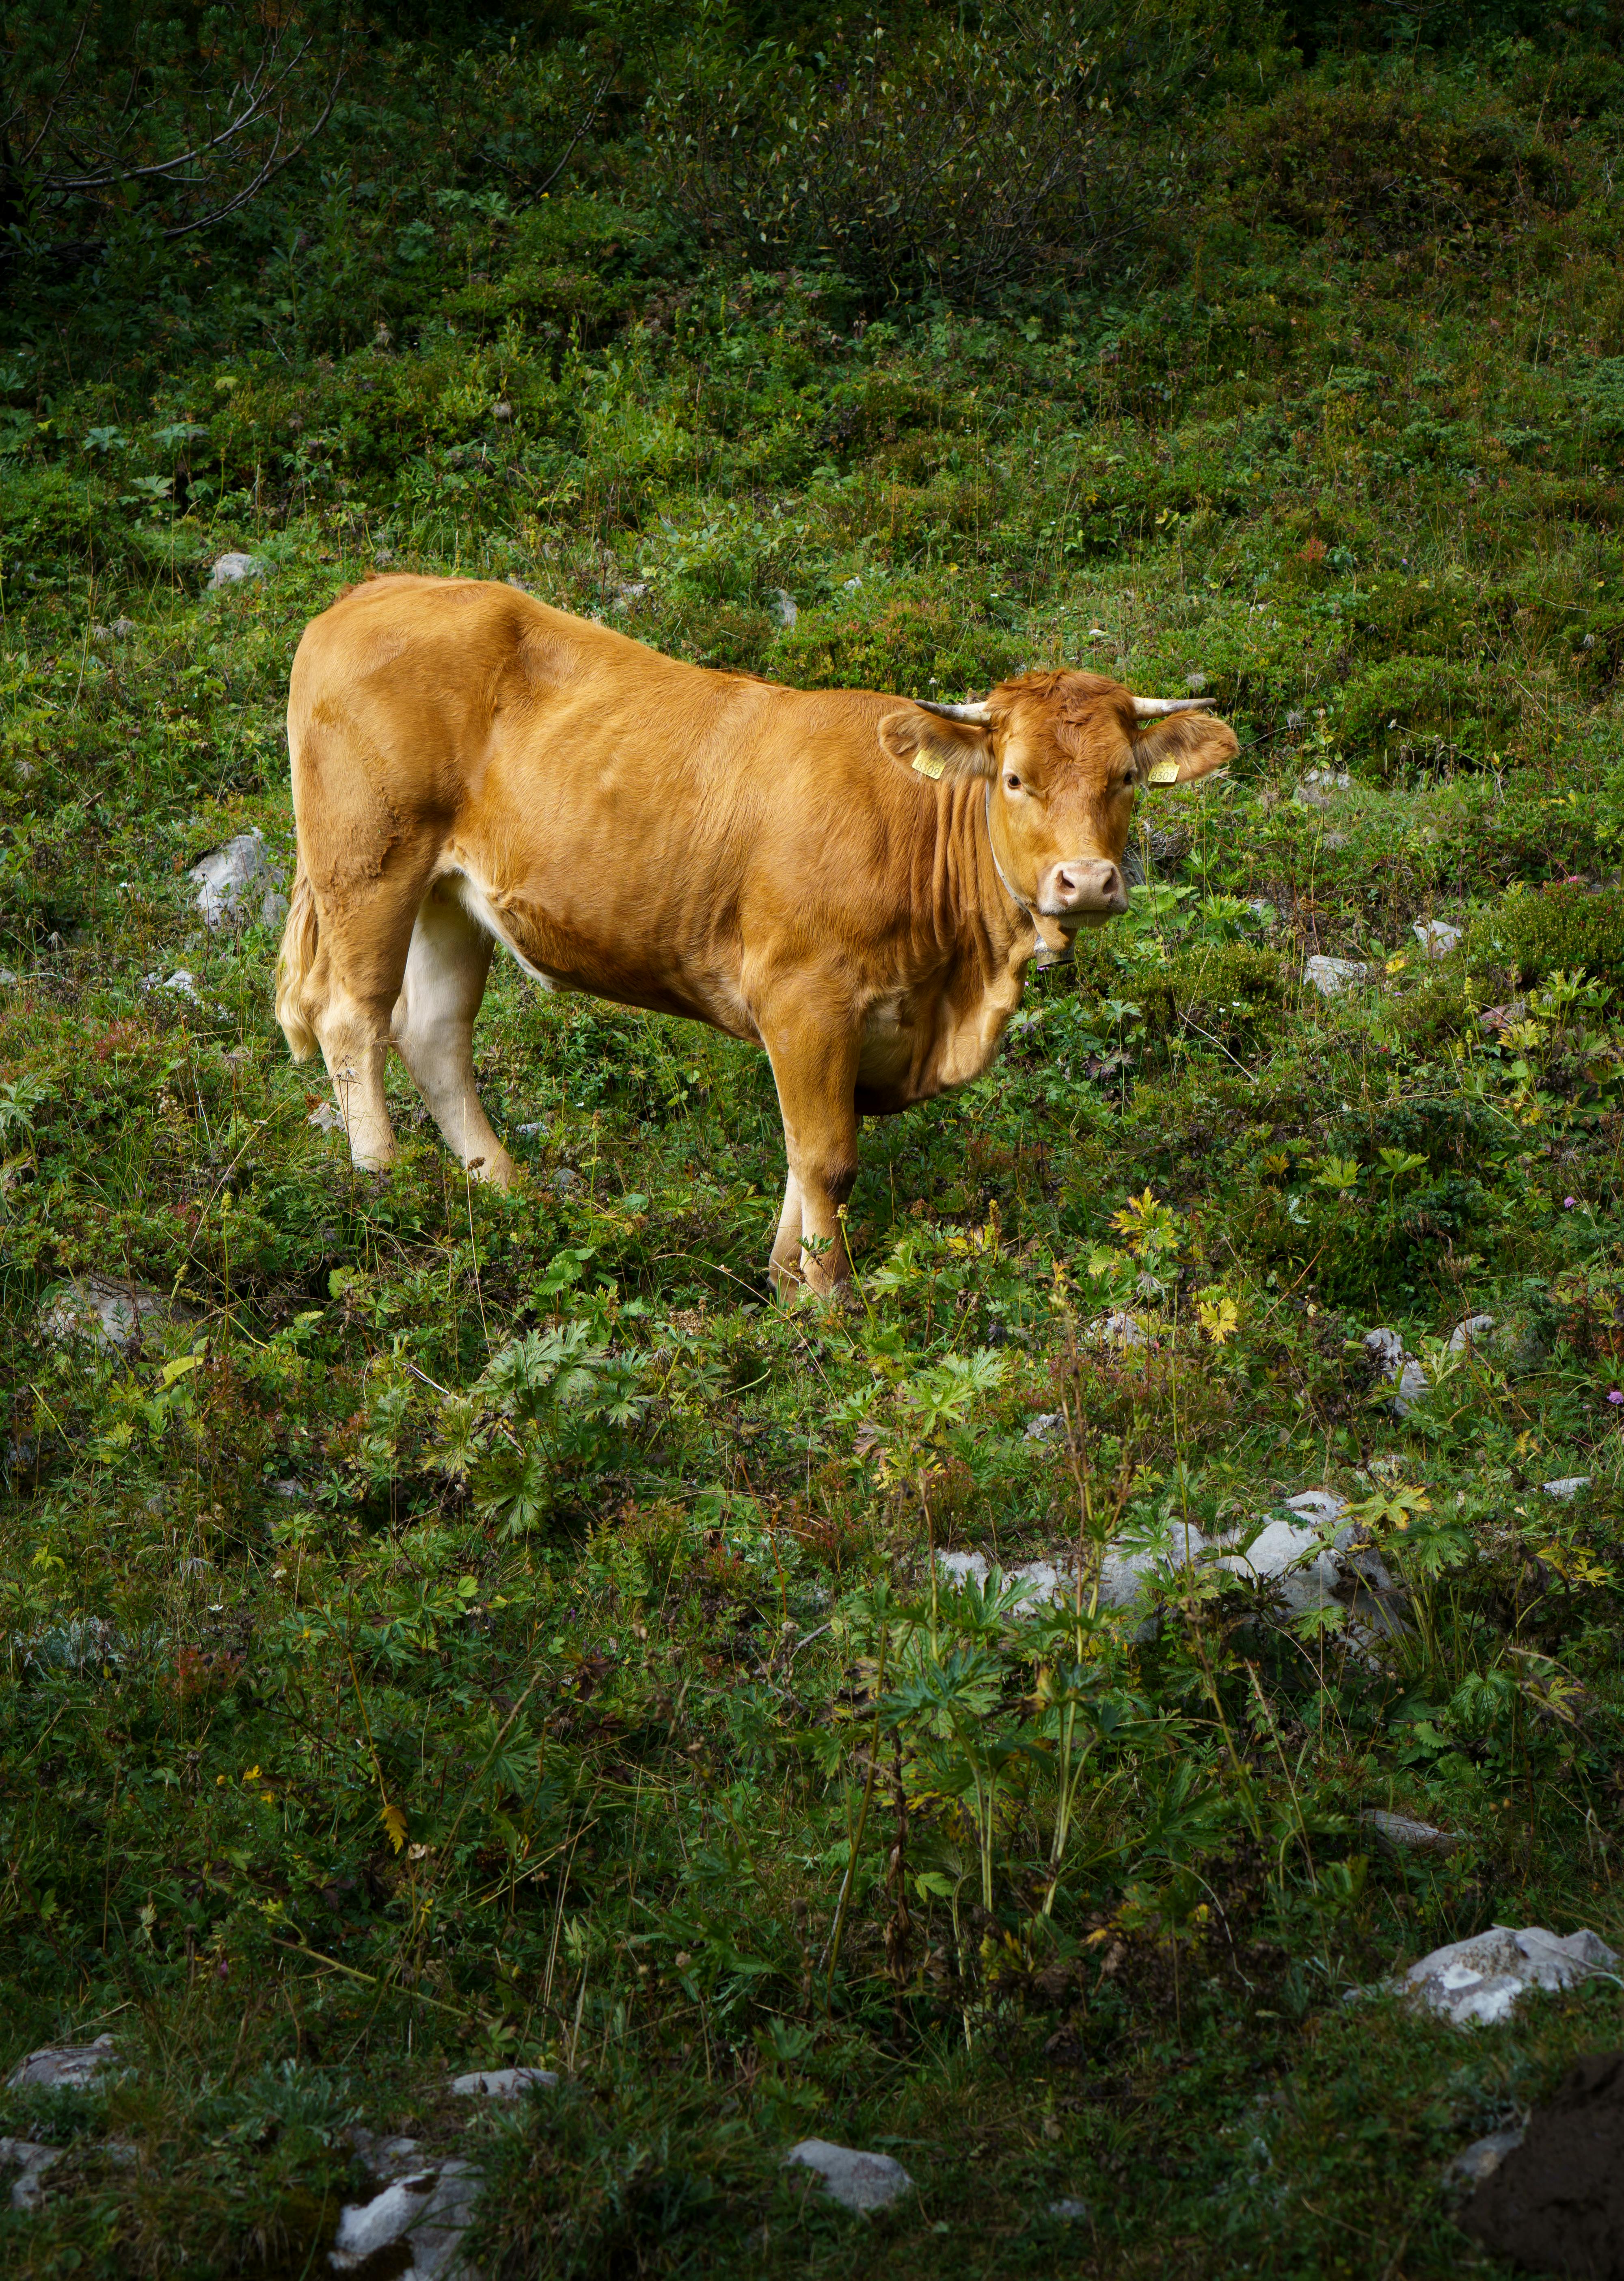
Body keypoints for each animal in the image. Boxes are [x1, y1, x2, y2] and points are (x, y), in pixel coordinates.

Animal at [275, 575, 1235, 1298]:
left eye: (1124, 778)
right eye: (1013, 779)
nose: (1087, 881)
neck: (956, 990)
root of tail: (377, 589)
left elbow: (800, 1152)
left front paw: (783, 1281)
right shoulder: (805, 996)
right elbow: (827, 1158)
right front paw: (831, 1299)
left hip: (447, 895)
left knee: (435, 1033)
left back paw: (507, 1195)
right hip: (369, 861)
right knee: (353, 1018)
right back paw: (382, 1181)